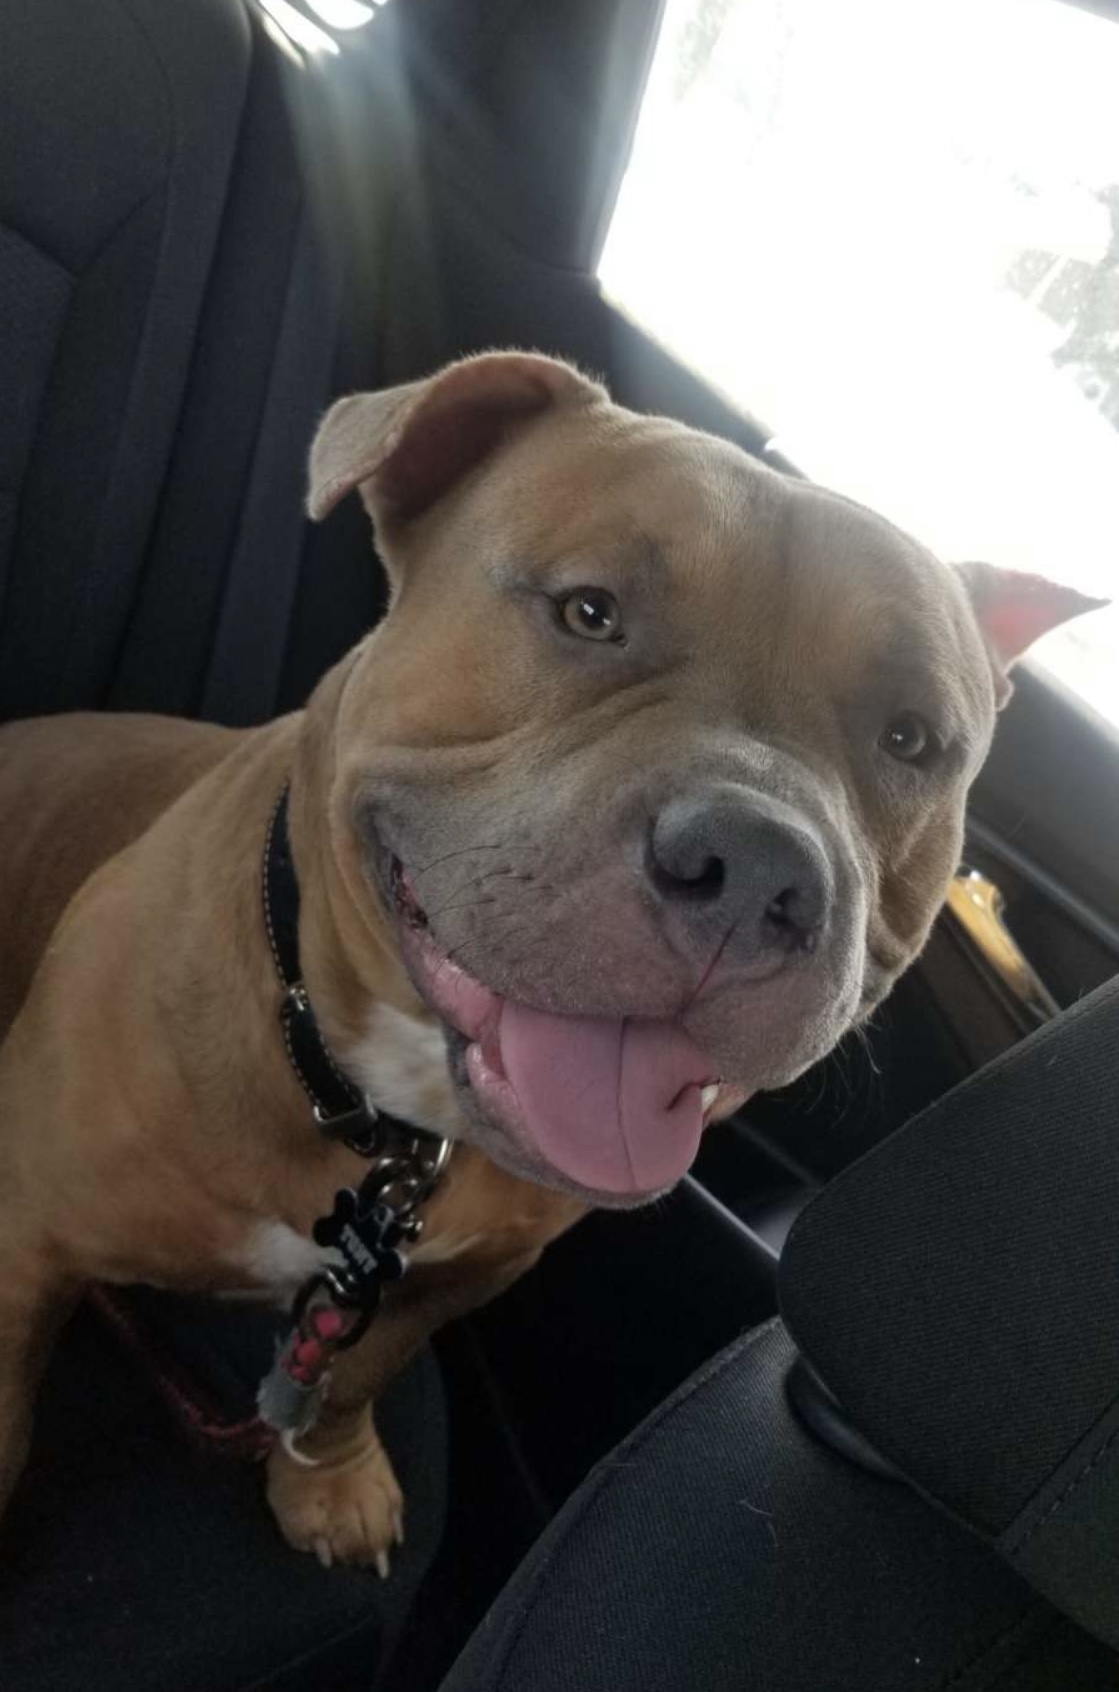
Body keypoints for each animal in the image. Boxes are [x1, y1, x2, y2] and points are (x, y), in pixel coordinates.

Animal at [0, 351, 1100, 1571]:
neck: (388, 1121)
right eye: (588, 612)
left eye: (910, 740)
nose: (757, 868)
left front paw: (325, 1478)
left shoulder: (450, 1283)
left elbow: (348, 1378)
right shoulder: (24, 1231)